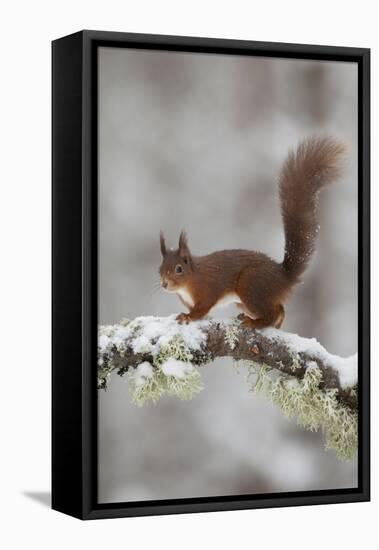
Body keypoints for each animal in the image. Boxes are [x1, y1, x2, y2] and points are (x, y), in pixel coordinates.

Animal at [159, 138, 346, 330]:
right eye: (160, 268)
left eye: (179, 269)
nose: (164, 284)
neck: (190, 279)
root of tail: (283, 277)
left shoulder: (207, 289)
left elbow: (202, 308)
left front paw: (188, 317)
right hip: (245, 299)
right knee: (279, 308)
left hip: (250, 285)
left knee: (272, 312)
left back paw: (254, 322)